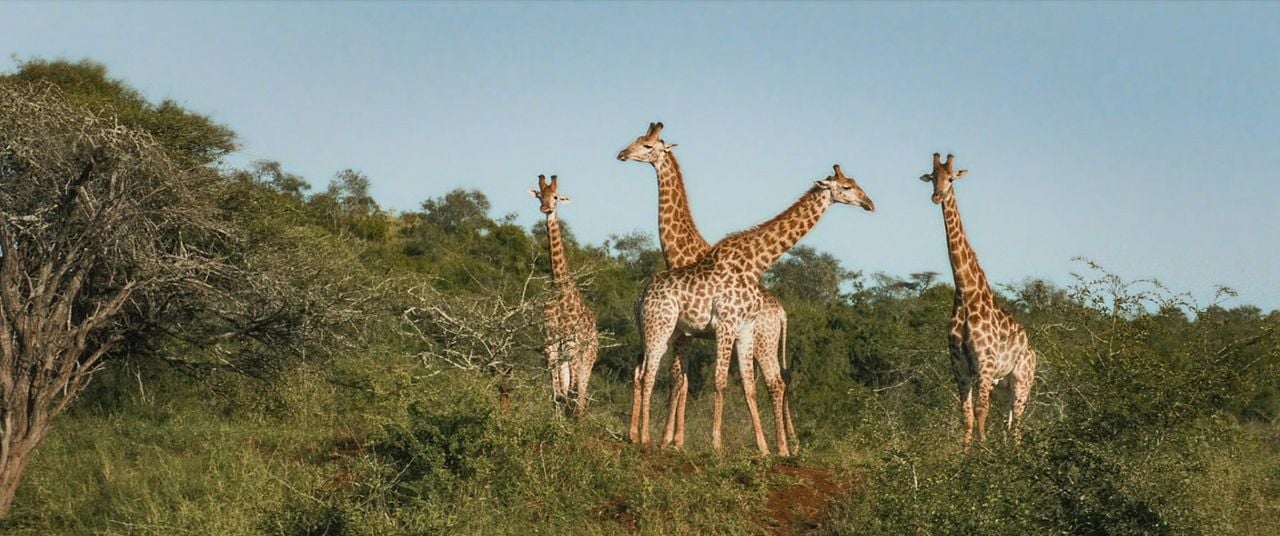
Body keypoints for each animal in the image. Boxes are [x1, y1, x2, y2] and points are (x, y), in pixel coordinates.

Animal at [529, 173, 599, 417]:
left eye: (556, 197)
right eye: (540, 195)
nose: (546, 208)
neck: (559, 285)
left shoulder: (571, 345)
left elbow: (571, 394)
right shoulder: (550, 344)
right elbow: (557, 395)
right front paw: (554, 423)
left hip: (587, 357)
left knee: (581, 396)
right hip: (567, 357)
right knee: (569, 393)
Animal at [616, 122, 793, 457]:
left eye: (648, 145)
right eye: (637, 139)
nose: (622, 154)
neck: (681, 250)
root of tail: (781, 312)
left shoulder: (685, 333)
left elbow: (677, 380)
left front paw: (670, 440)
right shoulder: (688, 333)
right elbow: (680, 380)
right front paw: (673, 439)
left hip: (761, 341)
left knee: (776, 382)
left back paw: (782, 447)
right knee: (781, 382)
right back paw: (791, 444)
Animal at [629, 165, 870, 452]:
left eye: (855, 183)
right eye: (846, 187)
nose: (869, 204)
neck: (755, 263)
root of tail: (641, 296)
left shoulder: (742, 330)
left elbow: (747, 386)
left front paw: (763, 449)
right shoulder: (725, 324)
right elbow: (718, 382)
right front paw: (715, 445)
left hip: (666, 332)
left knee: (642, 372)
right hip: (661, 327)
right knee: (648, 374)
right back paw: (645, 439)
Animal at [916, 152, 1034, 445]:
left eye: (951, 178)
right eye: (932, 178)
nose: (936, 196)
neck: (966, 293)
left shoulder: (985, 364)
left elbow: (981, 412)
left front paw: (983, 452)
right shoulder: (959, 366)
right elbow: (967, 416)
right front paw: (966, 453)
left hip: (1022, 381)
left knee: (1017, 424)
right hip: (1003, 387)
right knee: (1007, 422)